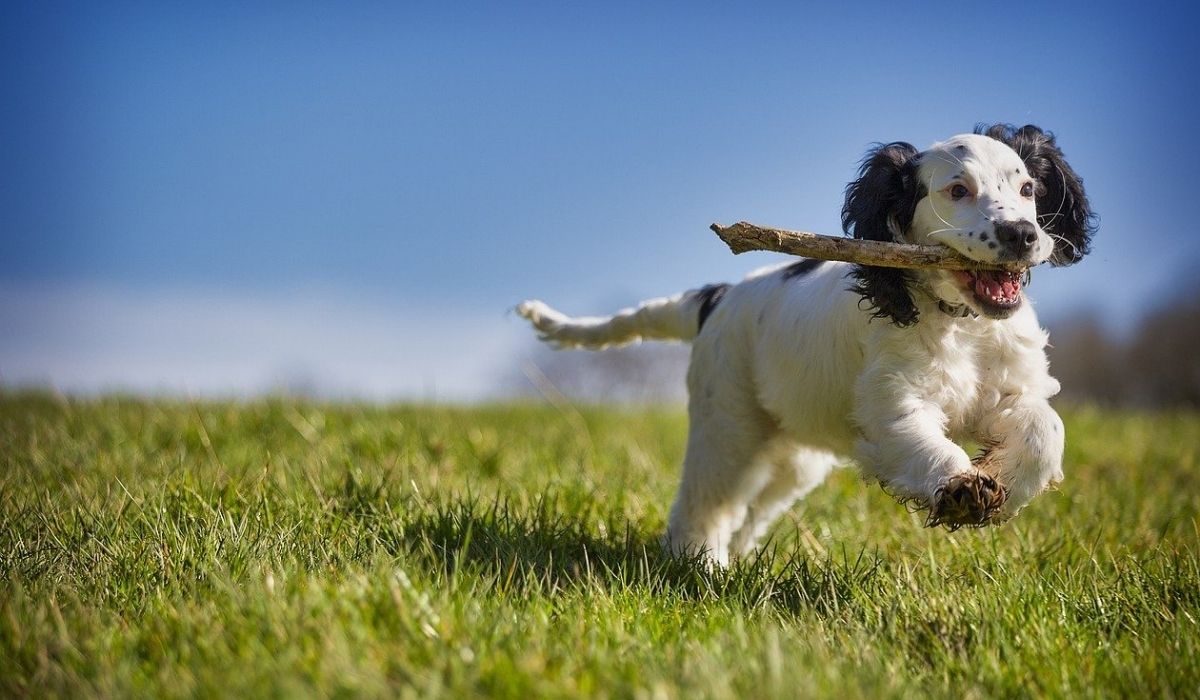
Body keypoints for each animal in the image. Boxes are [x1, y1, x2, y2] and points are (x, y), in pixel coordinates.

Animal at [516, 123, 1099, 566]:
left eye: (1028, 190)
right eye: (957, 191)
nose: (1023, 235)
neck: (960, 322)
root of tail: (719, 296)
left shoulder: (1013, 389)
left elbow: (1045, 430)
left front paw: (1003, 484)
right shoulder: (891, 403)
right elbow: (923, 441)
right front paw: (960, 488)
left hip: (794, 457)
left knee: (751, 510)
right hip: (728, 425)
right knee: (705, 502)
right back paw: (699, 565)